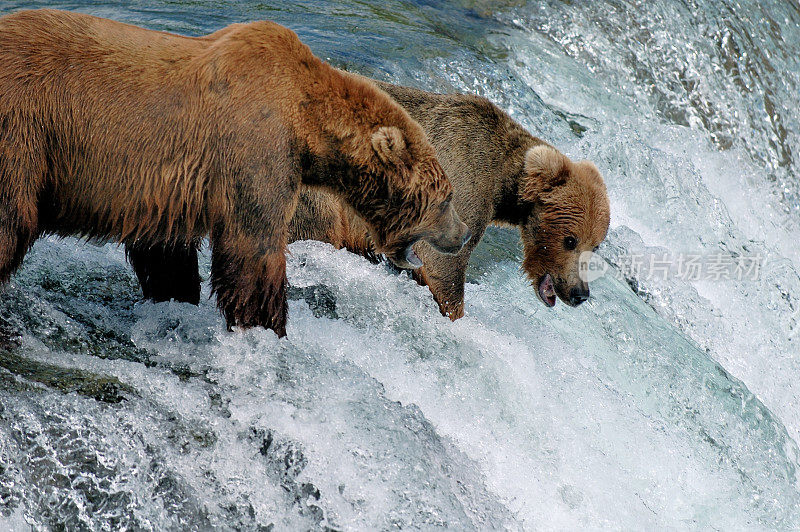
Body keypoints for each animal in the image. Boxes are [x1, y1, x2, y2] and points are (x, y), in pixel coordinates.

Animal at [0, 9, 468, 336]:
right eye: (445, 198)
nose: (463, 233)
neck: (307, 121)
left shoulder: (169, 190)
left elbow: (166, 250)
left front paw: (176, 298)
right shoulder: (256, 146)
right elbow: (253, 248)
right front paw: (266, 327)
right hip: (24, 132)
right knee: (10, 221)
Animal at [290, 81, 608, 318]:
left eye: (595, 245)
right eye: (570, 240)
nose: (580, 294)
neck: (505, 185)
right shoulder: (463, 179)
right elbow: (442, 261)